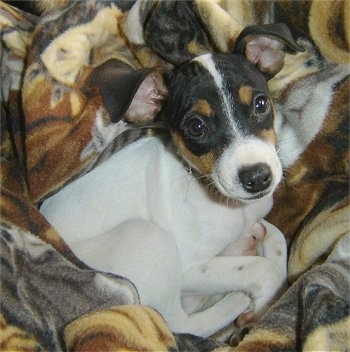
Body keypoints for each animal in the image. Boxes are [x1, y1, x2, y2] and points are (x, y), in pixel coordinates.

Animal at [41, 23, 302, 336]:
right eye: (196, 127)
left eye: (261, 104)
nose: (258, 177)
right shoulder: (190, 269)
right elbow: (261, 269)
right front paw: (261, 304)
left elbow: (276, 237)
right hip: (149, 240)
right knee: (182, 321)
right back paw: (235, 300)